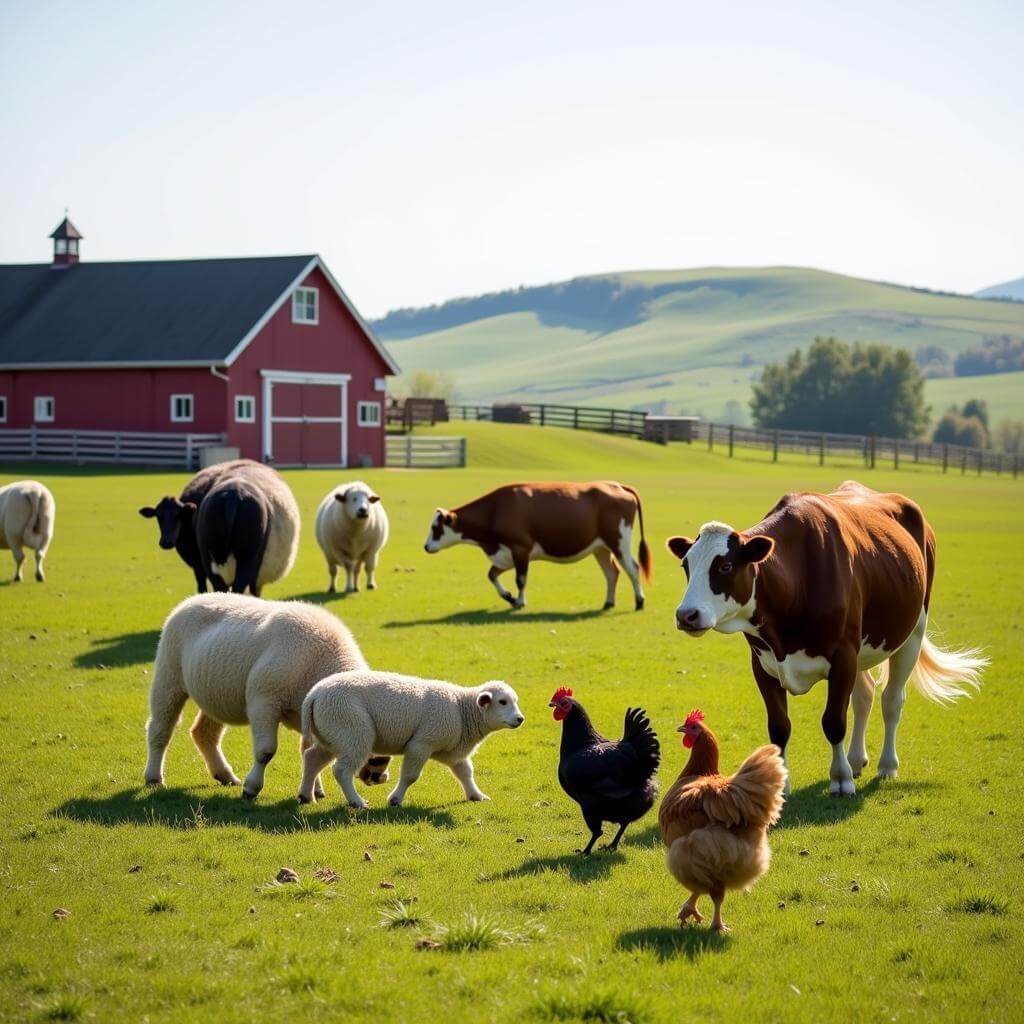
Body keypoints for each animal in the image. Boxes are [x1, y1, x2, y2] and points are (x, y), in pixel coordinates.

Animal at [146, 593, 382, 798]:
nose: (380, 777)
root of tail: (193, 598)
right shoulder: (264, 701)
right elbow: (266, 751)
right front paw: (251, 788)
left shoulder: (309, 715)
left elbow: (307, 750)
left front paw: (315, 790)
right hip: (169, 675)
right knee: (160, 729)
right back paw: (154, 778)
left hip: (215, 694)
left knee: (204, 733)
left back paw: (225, 775)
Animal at [294, 671, 520, 806]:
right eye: (502, 702)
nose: (520, 719)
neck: (462, 710)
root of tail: (313, 695)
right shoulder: (421, 743)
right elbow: (410, 776)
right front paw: (395, 800)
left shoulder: (451, 751)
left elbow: (465, 773)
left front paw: (476, 796)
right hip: (352, 730)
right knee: (341, 770)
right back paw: (357, 802)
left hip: (331, 735)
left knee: (312, 758)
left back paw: (306, 796)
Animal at [425, 477, 651, 606]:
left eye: (436, 528)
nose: (426, 546)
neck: (495, 511)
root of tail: (617, 485)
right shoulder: (505, 554)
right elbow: (492, 575)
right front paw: (508, 596)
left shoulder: (520, 548)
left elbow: (521, 579)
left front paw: (520, 601)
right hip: (601, 547)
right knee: (612, 573)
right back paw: (609, 602)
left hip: (619, 541)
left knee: (633, 567)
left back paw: (639, 601)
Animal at [663, 481, 983, 798]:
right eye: (686, 567)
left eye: (725, 566)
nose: (686, 614)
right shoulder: (763, 663)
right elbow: (779, 726)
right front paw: (781, 783)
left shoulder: (843, 656)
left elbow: (834, 721)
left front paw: (841, 779)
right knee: (864, 696)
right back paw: (856, 759)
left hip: (913, 631)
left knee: (892, 700)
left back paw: (887, 765)